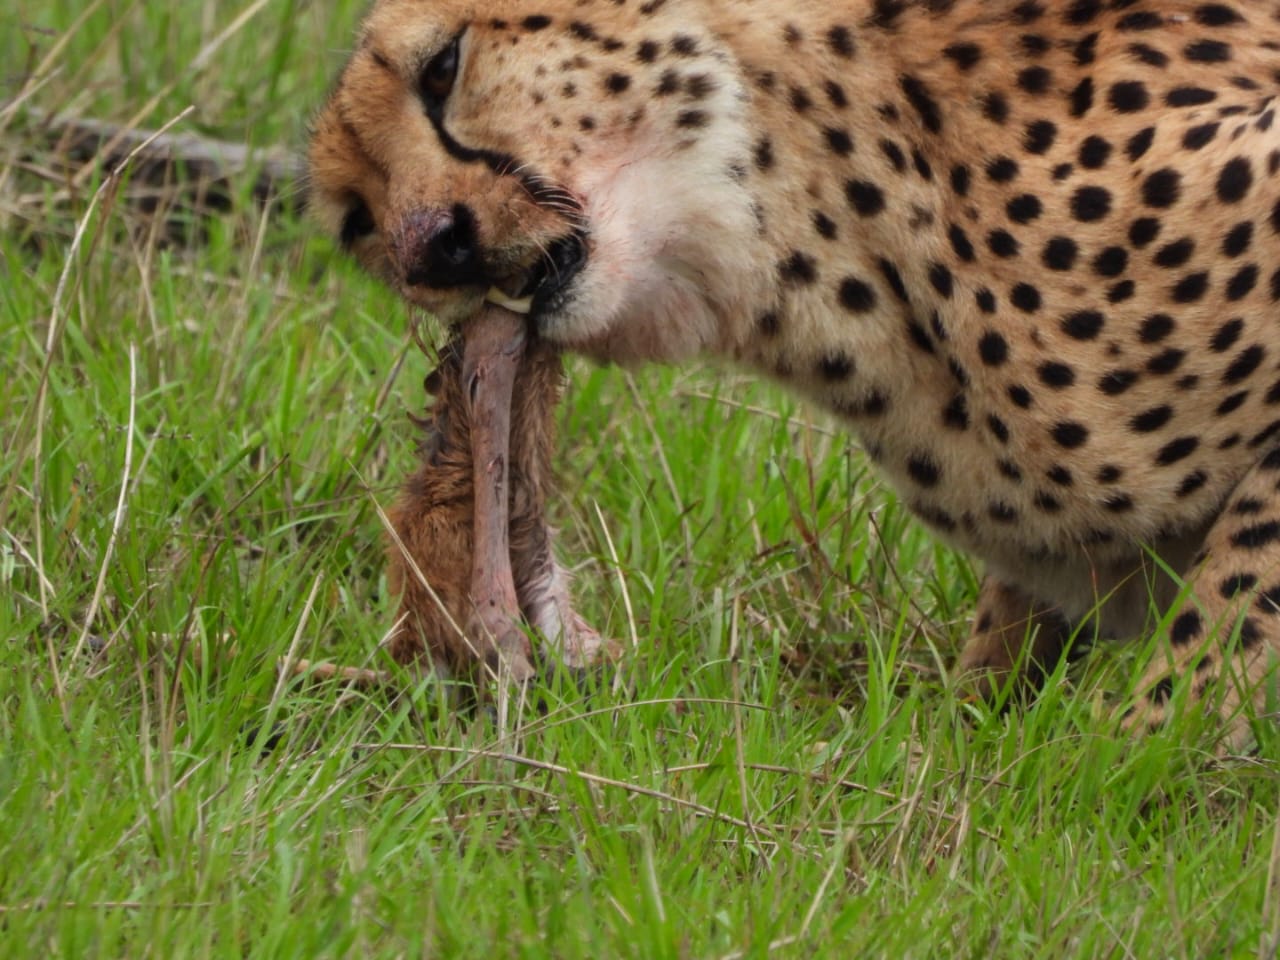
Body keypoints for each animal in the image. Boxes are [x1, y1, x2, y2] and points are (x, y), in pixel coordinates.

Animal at [308, 0, 1280, 750]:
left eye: (443, 67)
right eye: (358, 217)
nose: (436, 247)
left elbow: (1236, 592)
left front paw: (1139, 749)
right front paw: (974, 735)